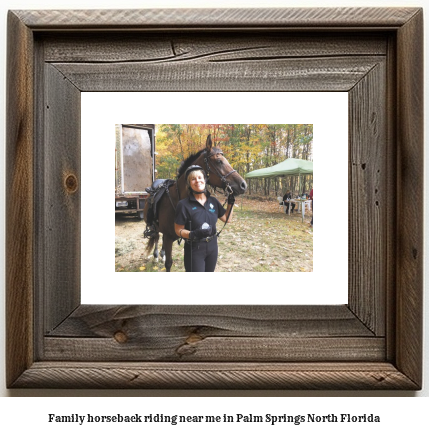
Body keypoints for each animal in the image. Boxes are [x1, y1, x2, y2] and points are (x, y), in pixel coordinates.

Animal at [143, 135, 246, 270]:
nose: (243, 185)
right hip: (155, 228)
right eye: (219, 161)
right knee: (156, 237)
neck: (176, 199)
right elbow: (168, 263)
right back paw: (155, 256)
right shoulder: (168, 237)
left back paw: (161, 254)